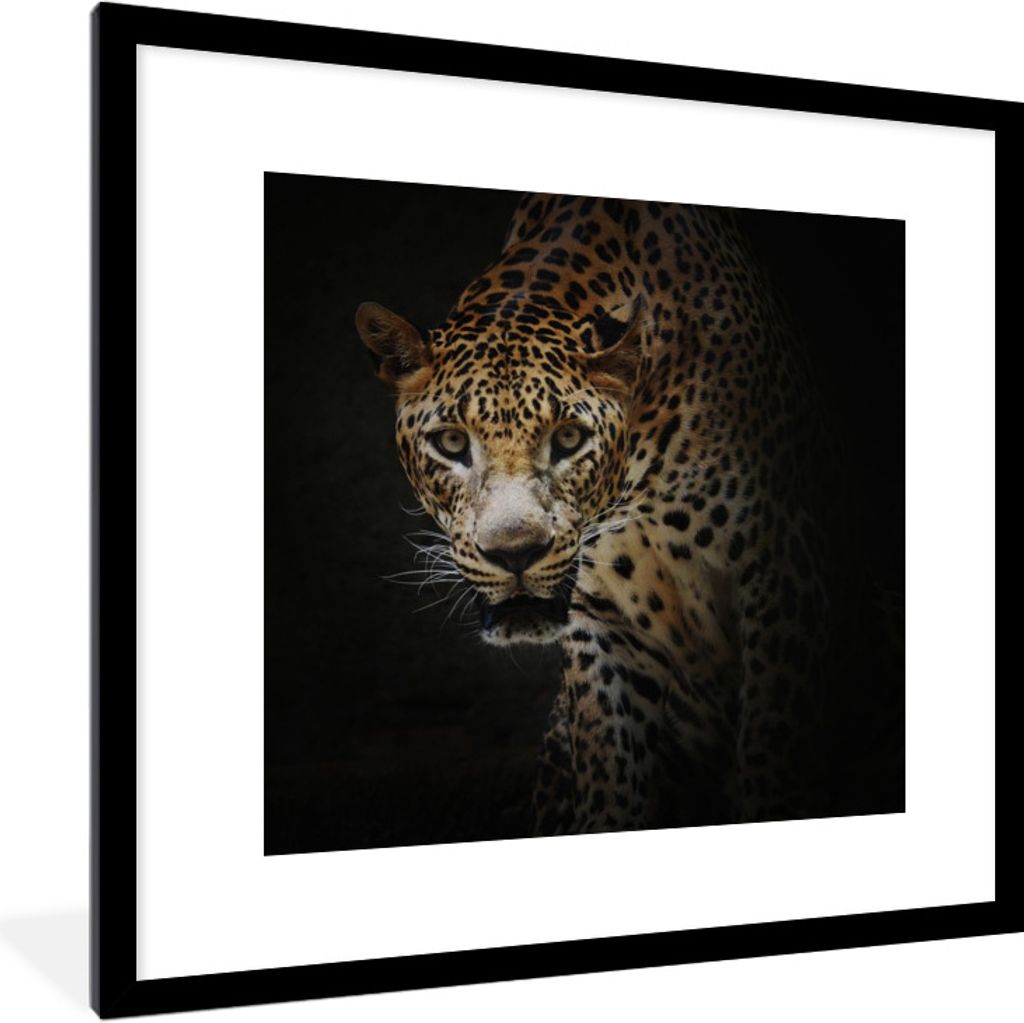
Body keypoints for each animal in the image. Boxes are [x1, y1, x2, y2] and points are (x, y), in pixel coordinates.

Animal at [355, 192, 878, 836]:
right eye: (452, 443)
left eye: (569, 438)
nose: (515, 554)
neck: (637, 475)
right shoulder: (599, 619)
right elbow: (610, 778)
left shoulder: (783, 571)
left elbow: (772, 753)